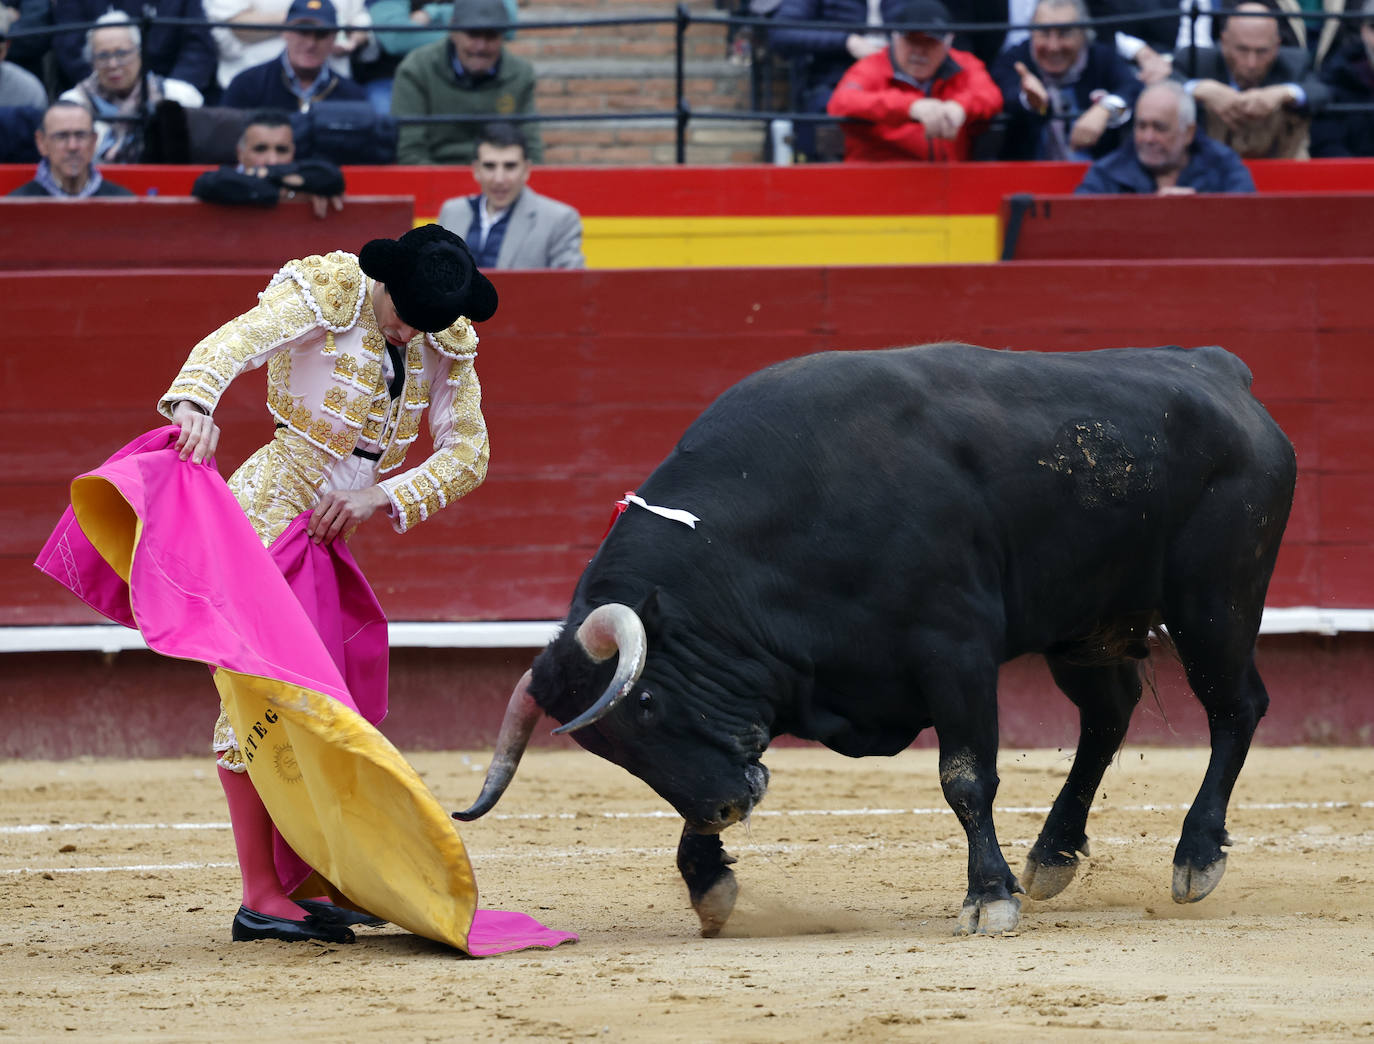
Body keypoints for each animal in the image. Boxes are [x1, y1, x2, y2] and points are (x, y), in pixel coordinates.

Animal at [453, 342, 1297, 939]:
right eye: (615, 751)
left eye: (650, 703)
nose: (725, 809)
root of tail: (1221, 371)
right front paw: (709, 881)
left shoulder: (956, 650)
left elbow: (966, 777)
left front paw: (988, 898)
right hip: (1086, 625)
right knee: (1108, 716)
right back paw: (1054, 855)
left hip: (1214, 603)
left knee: (1236, 708)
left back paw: (1196, 856)